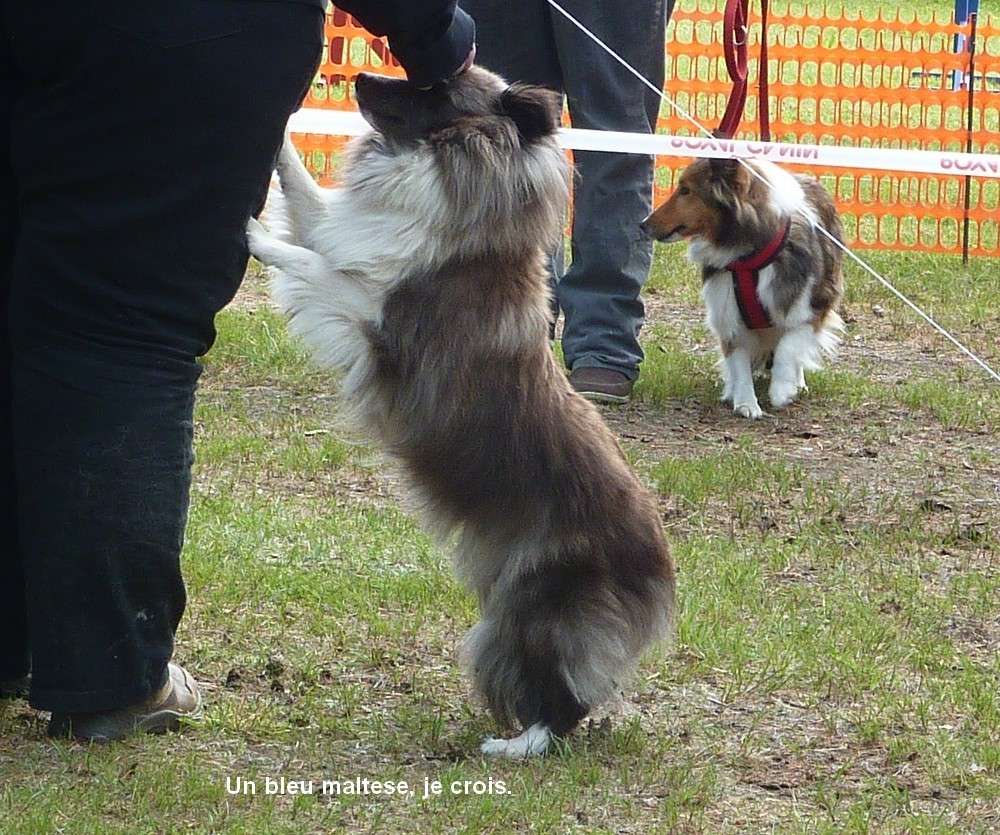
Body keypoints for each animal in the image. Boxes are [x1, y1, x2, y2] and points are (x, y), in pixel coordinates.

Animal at [246, 65, 676, 756]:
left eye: (434, 88)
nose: (357, 74)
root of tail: (661, 567)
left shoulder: (380, 324)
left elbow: (314, 264)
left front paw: (250, 231)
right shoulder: (342, 240)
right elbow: (308, 202)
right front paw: (284, 125)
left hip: (535, 608)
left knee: (564, 700)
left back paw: (516, 746)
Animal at [640, 157, 844, 418]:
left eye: (685, 190)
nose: (643, 225)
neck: (750, 255)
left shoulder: (813, 304)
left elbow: (789, 346)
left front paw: (781, 390)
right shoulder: (727, 312)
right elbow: (739, 361)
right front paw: (746, 403)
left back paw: (797, 382)